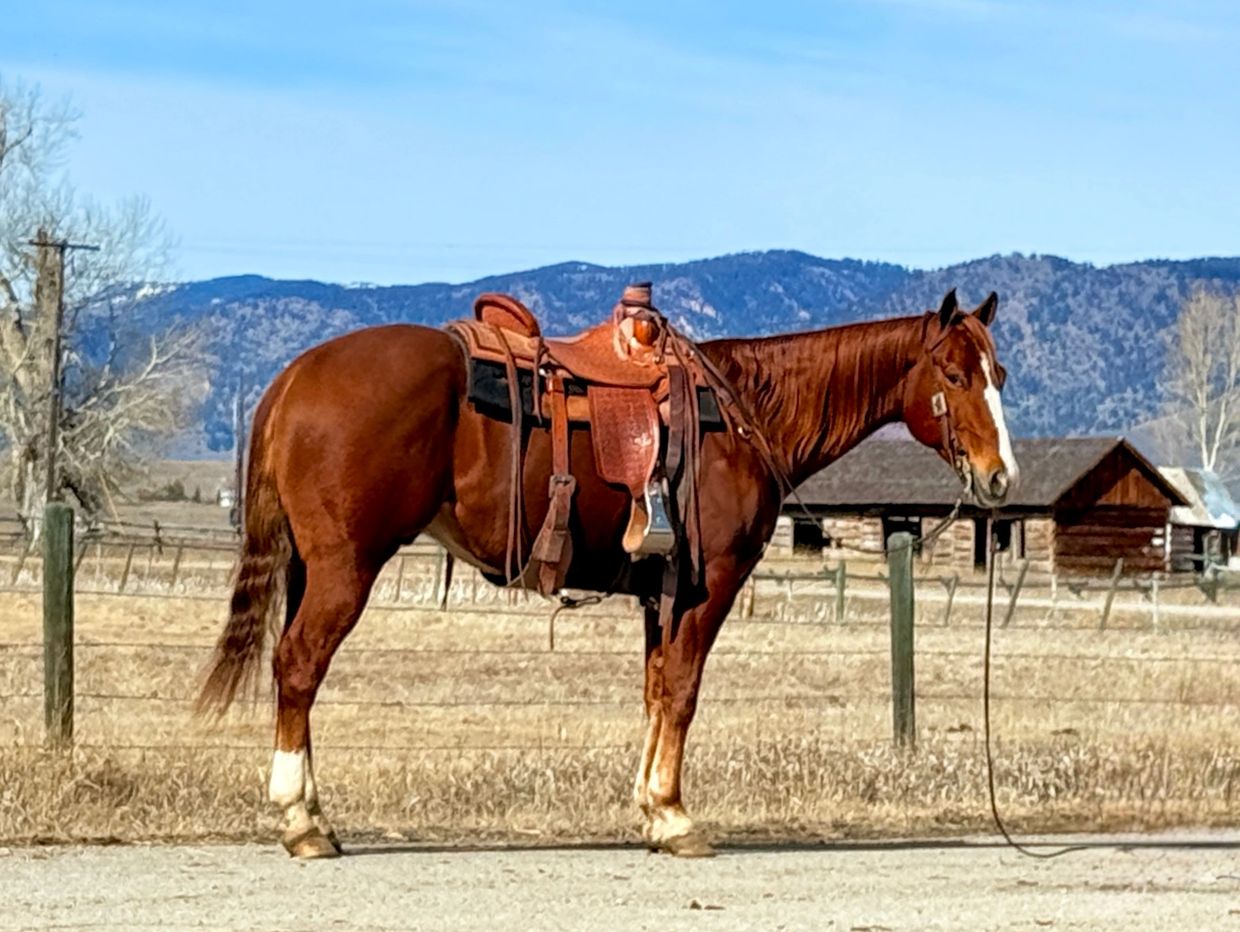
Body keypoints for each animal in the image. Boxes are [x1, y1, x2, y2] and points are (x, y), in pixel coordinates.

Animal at [196, 286, 1018, 859]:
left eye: (1000, 372)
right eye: (953, 373)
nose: (999, 477)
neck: (745, 413)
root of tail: (296, 376)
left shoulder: (663, 592)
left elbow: (656, 691)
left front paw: (652, 811)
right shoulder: (711, 586)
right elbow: (683, 693)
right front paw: (677, 818)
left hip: (312, 568)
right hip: (346, 567)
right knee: (300, 667)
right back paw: (301, 822)